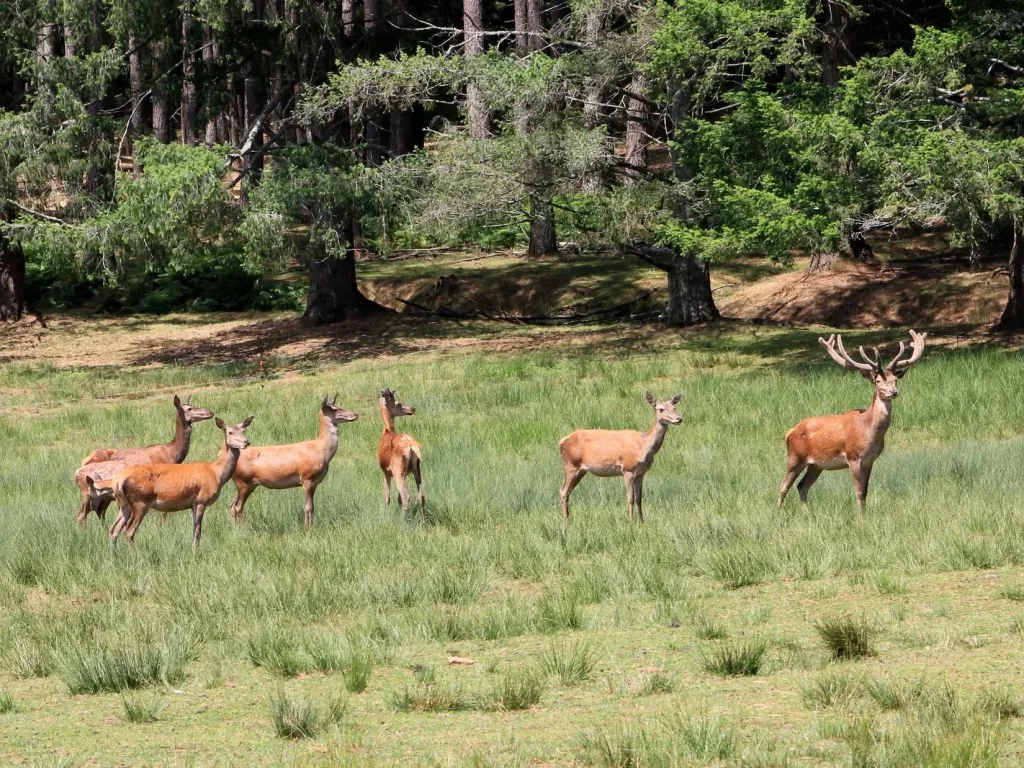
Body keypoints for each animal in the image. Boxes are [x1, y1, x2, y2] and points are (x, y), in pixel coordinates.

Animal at [74, 397, 215, 524]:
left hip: (103, 497)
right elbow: (163, 513)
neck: (171, 454)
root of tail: (79, 467)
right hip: (86, 493)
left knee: (98, 512)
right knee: (81, 515)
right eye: (189, 408)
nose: (210, 412)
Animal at [108, 417, 253, 548]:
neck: (216, 473)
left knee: (113, 530)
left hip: (124, 503)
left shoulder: (193, 504)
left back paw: (115, 556)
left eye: (243, 430)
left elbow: (194, 530)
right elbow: (198, 532)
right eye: (230, 432)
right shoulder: (201, 500)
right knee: (128, 532)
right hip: (140, 501)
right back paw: (135, 556)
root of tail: (118, 480)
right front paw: (195, 553)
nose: (246, 442)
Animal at [228, 397, 360, 528]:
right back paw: (242, 528)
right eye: (335, 409)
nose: (355, 414)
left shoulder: (315, 482)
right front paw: (307, 528)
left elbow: (313, 507)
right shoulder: (306, 477)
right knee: (238, 507)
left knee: (232, 505)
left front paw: (311, 526)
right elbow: (308, 507)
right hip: (243, 482)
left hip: (247, 484)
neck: (320, 450)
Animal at [561, 393, 679, 528]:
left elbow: (639, 498)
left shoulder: (641, 473)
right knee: (563, 491)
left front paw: (642, 521)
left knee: (567, 492)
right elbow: (630, 498)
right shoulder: (628, 469)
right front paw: (631, 521)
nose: (679, 419)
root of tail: (561, 442)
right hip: (571, 465)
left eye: (674, 407)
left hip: (580, 470)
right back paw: (566, 522)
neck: (643, 446)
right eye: (661, 409)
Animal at [774, 329, 929, 512]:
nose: (893, 392)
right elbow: (859, 490)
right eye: (878, 381)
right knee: (784, 485)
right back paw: (778, 511)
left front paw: (865, 511)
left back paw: (807, 511)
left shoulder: (870, 459)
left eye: (895, 380)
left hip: (816, 465)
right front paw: (860, 514)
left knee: (802, 486)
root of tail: (790, 431)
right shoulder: (853, 457)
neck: (868, 430)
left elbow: (866, 490)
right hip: (795, 456)